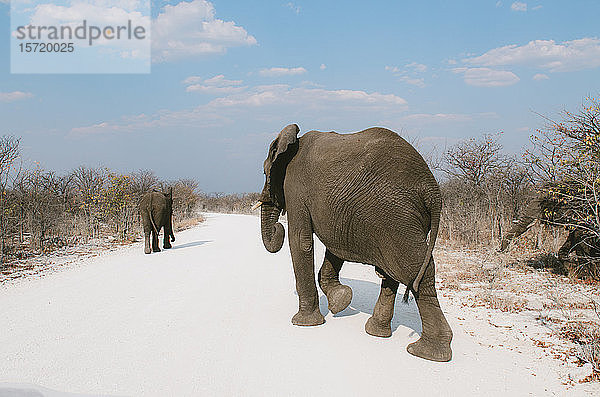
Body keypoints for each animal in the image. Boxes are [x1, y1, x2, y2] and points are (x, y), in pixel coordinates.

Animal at [254, 124, 454, 362]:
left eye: (265, 172)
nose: (277, 228)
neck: (292, 141)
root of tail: (432, 190)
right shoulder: (340, 214)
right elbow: (335, 246)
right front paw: (341, 300)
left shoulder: (295, 187)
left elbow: (300, 241)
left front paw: (304, 323)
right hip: (400, 220)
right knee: (392, 271)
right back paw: (377, 332)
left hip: (398, 217)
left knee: (414, 271)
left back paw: (427, 353)